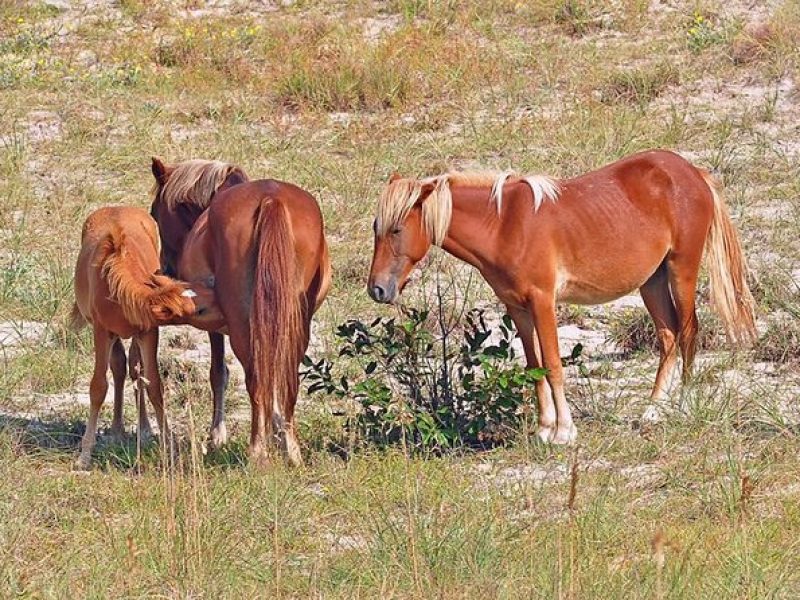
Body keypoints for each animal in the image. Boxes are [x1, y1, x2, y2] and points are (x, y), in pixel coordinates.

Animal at [72, 206, 219, 468]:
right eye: (201, 308)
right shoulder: (101, 331)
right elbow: (98, 387)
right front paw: (85, 454)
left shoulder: (148, 332)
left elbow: (154, 385)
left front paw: (169, 446)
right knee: (119, 367)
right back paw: (117, 429)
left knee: (133, 368)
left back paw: (143, 429)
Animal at [149, 158, 332, 464]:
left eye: (154, 213)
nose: (164, 268)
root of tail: (270, 199)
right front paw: (276, 431)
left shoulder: (216, 325)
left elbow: (218, 373)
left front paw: (216, 436)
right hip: (296, 322)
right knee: (286, 380)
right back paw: (291, 451)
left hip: (243, 327)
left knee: (256, 380)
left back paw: (257, 452)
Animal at [368, 149, 756, 440]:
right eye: (376, 228)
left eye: (397, 228)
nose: (377, 289)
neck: (504, 225)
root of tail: (692, 172)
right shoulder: (517, 307)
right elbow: (533, 366)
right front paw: (543, 429)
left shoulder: (543, 302)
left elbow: (554, 364)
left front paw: (564, 431)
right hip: (652, 282)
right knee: (669, 337)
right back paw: (653, 409)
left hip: (681, 271)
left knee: (689, 332)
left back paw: (683, 404)